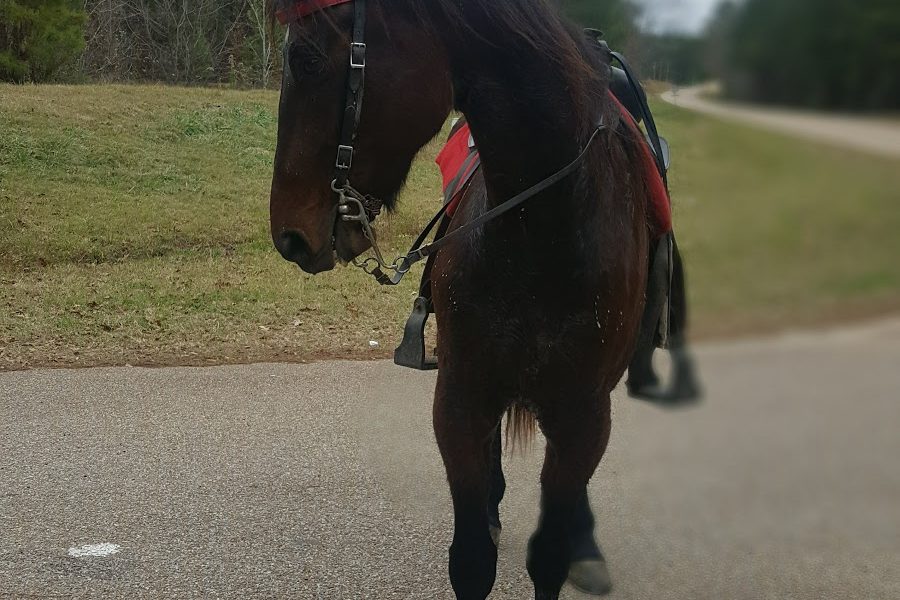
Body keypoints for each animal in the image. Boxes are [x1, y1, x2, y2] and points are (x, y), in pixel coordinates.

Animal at [268, 2, 660, 596]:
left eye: (307, 58)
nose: (288, 236)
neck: (543, 230)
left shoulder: (584, 414)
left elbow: (549, 553)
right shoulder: (460, 397)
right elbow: (472, 559)